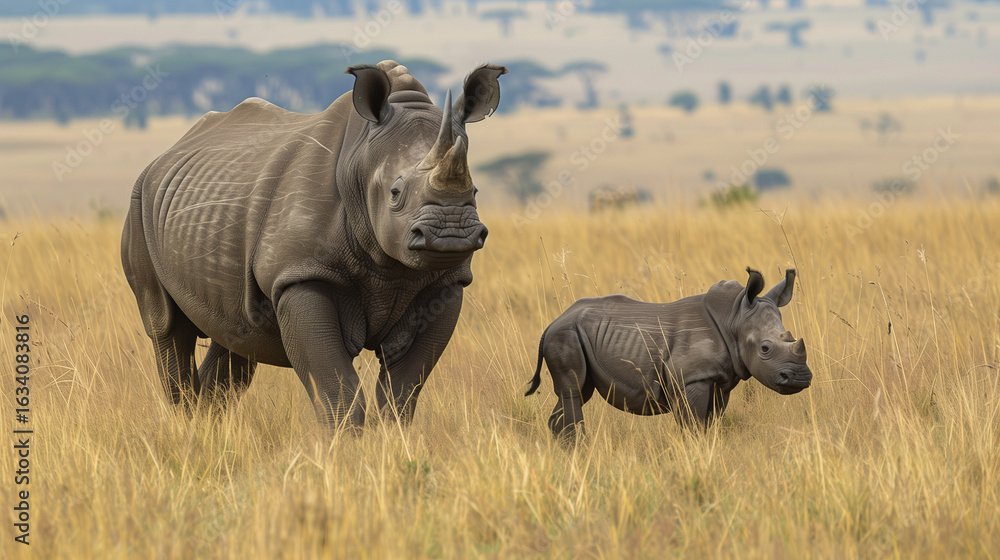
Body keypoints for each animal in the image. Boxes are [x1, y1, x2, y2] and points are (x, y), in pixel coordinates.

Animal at [122, 60, 506, 429]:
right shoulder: (301, 273)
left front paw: (393, 439)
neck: (360, 160)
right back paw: (185, 423)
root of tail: (169, 152)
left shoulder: (445, 282)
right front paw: (345, 444)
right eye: (395, 193)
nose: (451, 233)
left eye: (474, 191)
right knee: (167, 328)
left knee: (236, 336)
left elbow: (404, 388)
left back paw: (205, 426)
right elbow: (335, 384)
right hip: (138, 202)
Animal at [525, 268, 812, 439]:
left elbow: (711, 424)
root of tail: (551, 323)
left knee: (577, 393)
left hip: (574, 334)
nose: (800, 378)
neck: (734, 318)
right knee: (573, 392)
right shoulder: (691, 378)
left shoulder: (720, 382)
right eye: (765, 349)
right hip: (565, 335)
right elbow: (693, 426)